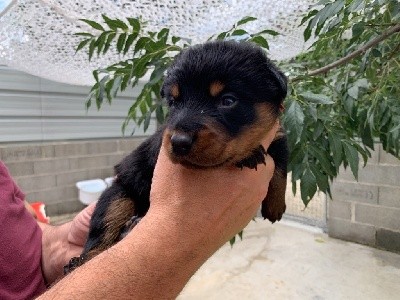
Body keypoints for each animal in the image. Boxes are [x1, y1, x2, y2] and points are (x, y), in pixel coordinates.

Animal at [64, 40, 290, 274]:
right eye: (173, 102)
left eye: (228, 100)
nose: (178, 142)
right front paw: (250, 155)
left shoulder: (278, 134)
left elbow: (282, 165)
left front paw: (276, 206)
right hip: (118, 194)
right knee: (101, 233)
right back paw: (81, 260)